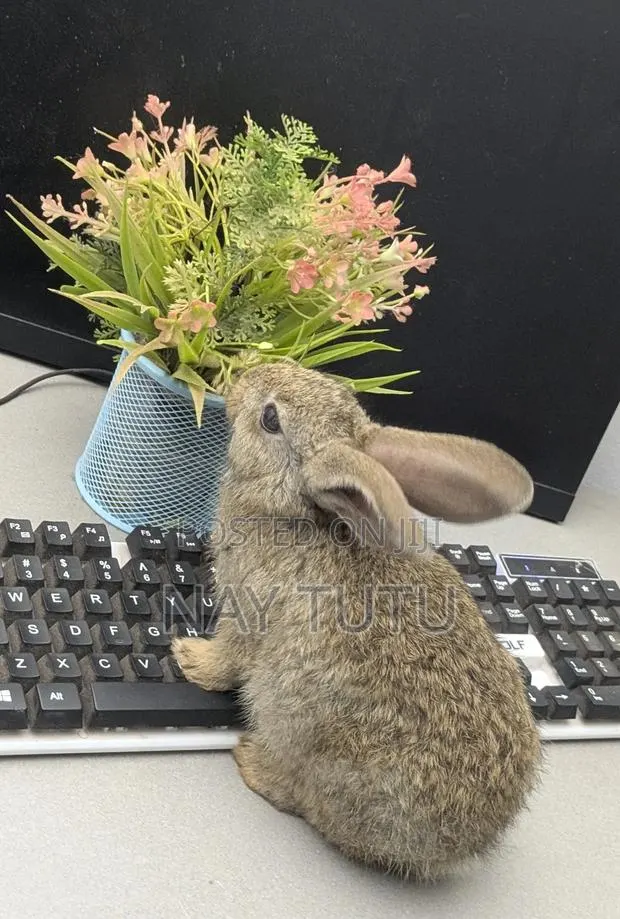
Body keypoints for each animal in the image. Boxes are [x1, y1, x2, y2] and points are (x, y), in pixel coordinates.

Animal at [173, 360, 542, 881]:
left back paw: (251, 763)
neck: (295, 510)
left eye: (271, 419)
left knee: (301, 796)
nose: (248, 371)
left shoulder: (247, 612)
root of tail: (459, 847)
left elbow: (228, 656)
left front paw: (189, 658)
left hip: (305, 738)